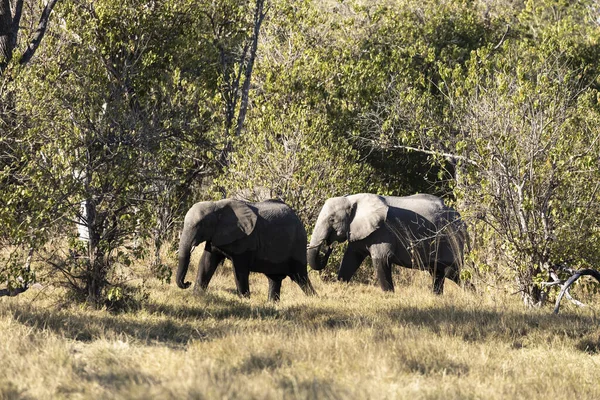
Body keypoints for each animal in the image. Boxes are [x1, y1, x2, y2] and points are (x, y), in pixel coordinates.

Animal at [175, 198, 314, 302]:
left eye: (200, 225)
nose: (187, 282)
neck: (216, 206)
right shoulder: (216, 236)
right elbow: (206, 263)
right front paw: (197, 295)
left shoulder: (245, 239)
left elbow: (239, 269)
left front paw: (244, 300)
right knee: (274, 279)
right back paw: (272, 304)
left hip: (297, 244)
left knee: (300, 277)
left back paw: (313, 298)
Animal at [308, 194, 466, 294]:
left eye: (332, 220)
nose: (329, 246)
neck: (352, 199)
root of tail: (460, 218)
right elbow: (350, 259)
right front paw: (340, 286)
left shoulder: (383, 231)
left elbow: (381, 260)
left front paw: (389, 295)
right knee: (441, 273)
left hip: (450, 240)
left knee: (450, 271)